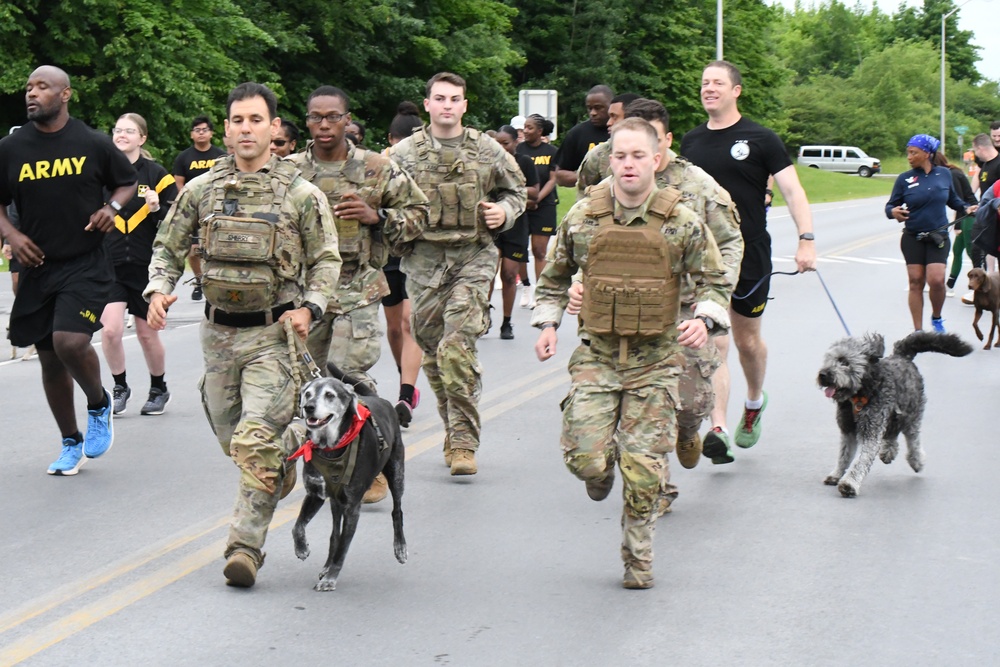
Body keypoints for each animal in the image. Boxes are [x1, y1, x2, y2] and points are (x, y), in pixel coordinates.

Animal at [290, 366, 406, 588]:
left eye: (329, 395)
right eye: (307, 393)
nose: (309, 407)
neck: (330, 448)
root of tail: (380, 400)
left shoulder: (352, 507)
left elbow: (343, 547)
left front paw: (330, 578)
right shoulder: (315, 494)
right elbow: (298, 526)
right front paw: (301, 548)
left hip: (397, 474)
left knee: (397, 511)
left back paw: (400, 547)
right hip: (336, 502)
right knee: (334, 534)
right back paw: (325, 564)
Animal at [816, 332, 972, 498]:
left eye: (844, 362)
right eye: (828, 359)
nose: (823, 374)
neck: (861, 392)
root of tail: (903, 355)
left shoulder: (871, 429)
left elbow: (861, 460)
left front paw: (849, 484)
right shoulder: (848, 430)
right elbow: (844, 455)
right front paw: (836, 474)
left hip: (912, 413)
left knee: (913, 439)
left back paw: (916, 461)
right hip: (894, 415)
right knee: (892, 434)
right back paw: (888, 452)